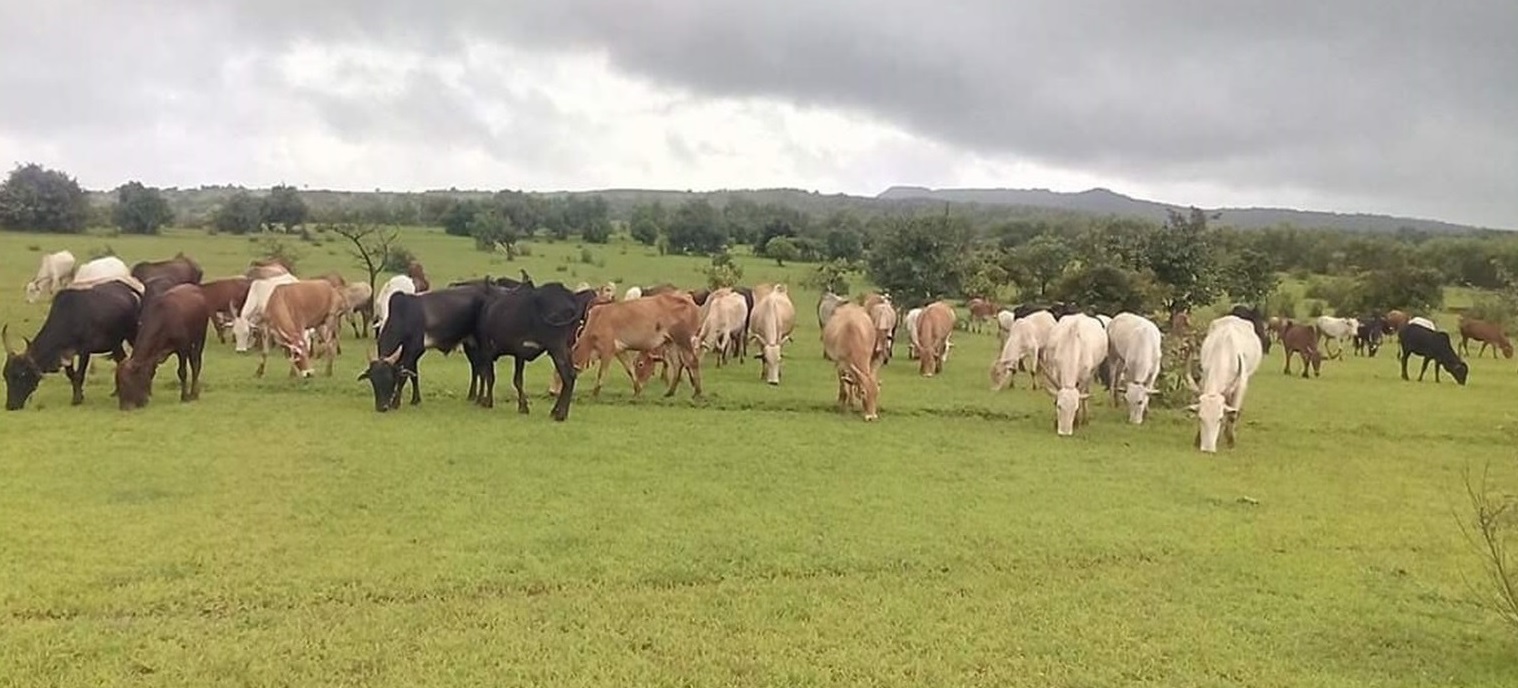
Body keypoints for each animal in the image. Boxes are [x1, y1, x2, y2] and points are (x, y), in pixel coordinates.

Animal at [3, 280, 142, 410]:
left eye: (21, 374)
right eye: (5, 375)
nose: (11, 406)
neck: (70, 317)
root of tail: (127, 289)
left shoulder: (85, 351)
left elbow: (79, 375)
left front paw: (77, 400)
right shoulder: (65, 354)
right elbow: (71, 375)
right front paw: (80, 395)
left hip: (131, 335)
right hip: (116, 343)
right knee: (121, 360)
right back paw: (116, 392)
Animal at [358, 285, 492, 411]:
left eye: (389, 379)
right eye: (373, 381)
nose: (382, 407)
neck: (403, 317)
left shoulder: (414, 350)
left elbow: (404, 377)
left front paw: (396, 403)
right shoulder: (409, 354)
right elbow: (414, 375)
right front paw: (415, 400)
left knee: (482, 370)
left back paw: (480, 398)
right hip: (469, 344)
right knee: (475, 368)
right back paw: (472, 396)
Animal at [469, 282, 596, 420]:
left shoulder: (487, 350)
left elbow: (490, 377)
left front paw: (487, 402)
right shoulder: (519, 354)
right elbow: (517, 380)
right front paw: (523, 407)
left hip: (557, 347)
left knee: (568, 375)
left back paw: (560, 414)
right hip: (566, 347)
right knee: (571, 375)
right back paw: (556, 411)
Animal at [573, 292, 704, 399]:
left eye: (641, 364)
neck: (598, 319)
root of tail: (689, 300)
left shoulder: (607, 351)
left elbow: (601, 374)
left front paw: (594, 394)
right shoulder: (619, 351)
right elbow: (630, 369)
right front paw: (637, 390)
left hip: (683, 340)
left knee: (693, 361)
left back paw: (697, 392)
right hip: (671, 343)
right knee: (677, 365)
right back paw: (669, 392)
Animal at [1186, 315, 1265, 453]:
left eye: (1219, 418)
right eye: (1200, 418)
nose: (1208, 449)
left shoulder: (1240, 386)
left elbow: (1232, 415)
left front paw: (1231, 441)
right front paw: (1198, 439)